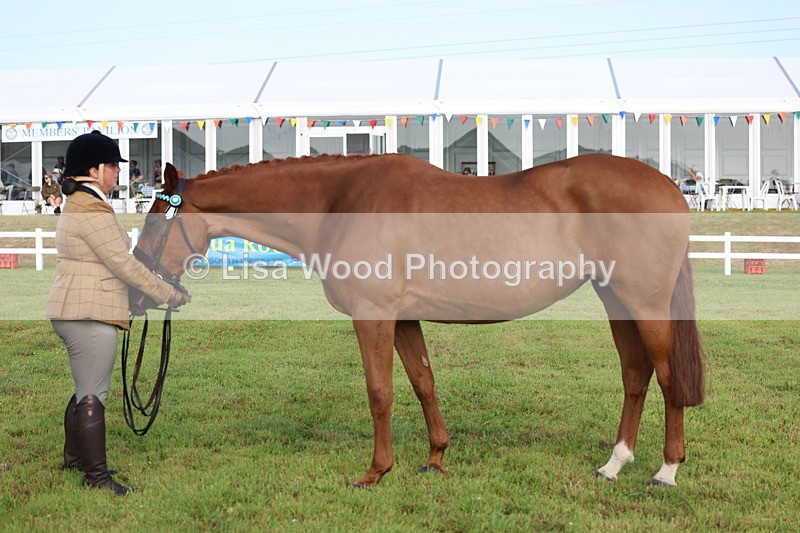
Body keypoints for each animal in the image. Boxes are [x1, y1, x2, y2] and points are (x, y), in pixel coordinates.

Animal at [133, 153, 704, 488]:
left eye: (155, 220)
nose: (138, 291)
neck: (341, 202)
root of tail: (669, 187)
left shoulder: (373, 317)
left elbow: (380, 392)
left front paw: (375, 471)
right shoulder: (404, 319)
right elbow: (423, 381)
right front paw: (435, 458)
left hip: (644, 304)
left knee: (667, 377)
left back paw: (667, 469)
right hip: (615, 301)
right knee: (635, 375)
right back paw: (615, 462)